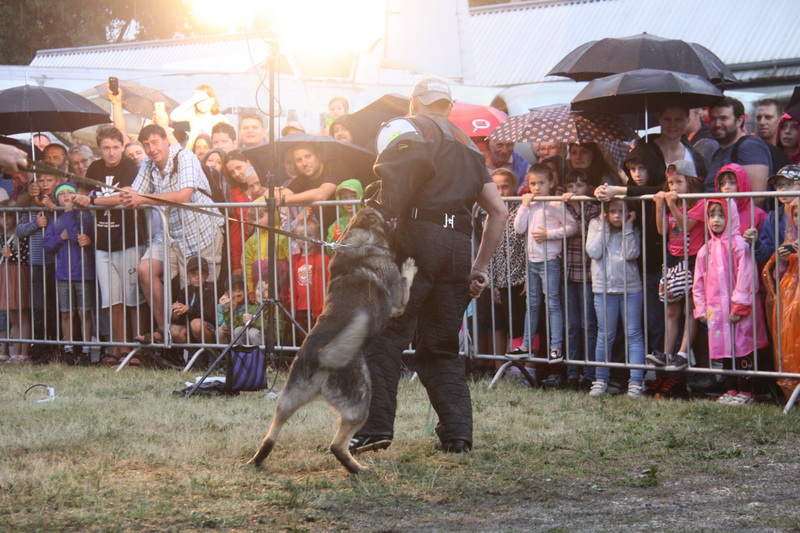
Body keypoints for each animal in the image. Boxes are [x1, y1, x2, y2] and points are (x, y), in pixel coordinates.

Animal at [247, 206, 416, 472]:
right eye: (384, 216)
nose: (396, 216)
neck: (359, 242)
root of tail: (320, 357)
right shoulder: (398, 303)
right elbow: (406, 281)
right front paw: (409, 267)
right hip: (360, 403)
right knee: (337, 445)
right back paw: (358, 469)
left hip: (289, 397)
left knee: (273, 429)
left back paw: (259, 457)